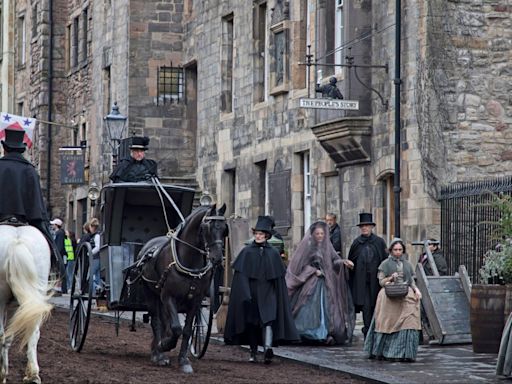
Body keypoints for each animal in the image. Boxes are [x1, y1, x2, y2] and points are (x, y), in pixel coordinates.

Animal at [141, 206, 227, 374]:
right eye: (208, 227)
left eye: (224, 229)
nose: (218, 258)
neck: (189, 261)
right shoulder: (168, 296)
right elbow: (176, 328)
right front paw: (164, 345)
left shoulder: (195, 301)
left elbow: (186, 330)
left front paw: (183, 361)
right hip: (151, 295)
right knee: (156, 321)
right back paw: (158, 354)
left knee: (163, 322)